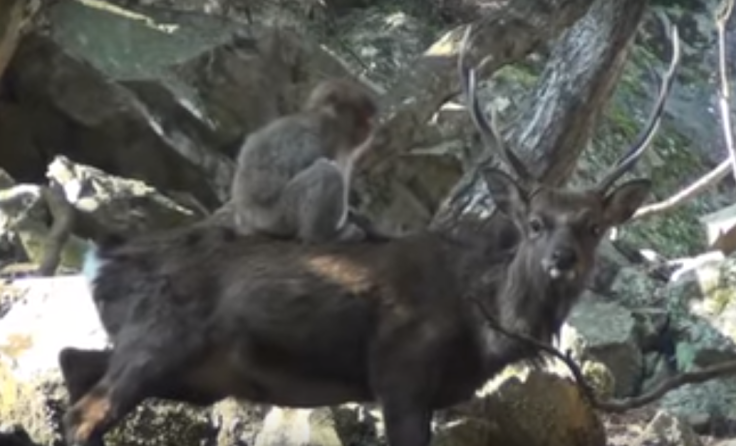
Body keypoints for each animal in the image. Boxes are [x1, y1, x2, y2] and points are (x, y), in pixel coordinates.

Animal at [231, 77, 382, 244]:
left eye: (369, 116)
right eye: (363, 115)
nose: (371, 126)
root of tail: (246, 219)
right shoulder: (315, 134)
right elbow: (266, 185)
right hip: (277, 218)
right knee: (327, 172)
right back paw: (321, 236)